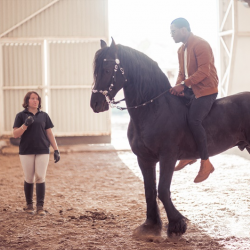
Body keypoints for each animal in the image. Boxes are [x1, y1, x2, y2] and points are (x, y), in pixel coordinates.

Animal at [91, 38, 250, 237]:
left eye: (106, 70)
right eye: (95, 70)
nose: (95, 104)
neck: (153, 109)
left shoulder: (168, 156)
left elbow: (162, 190)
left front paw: (177, 223)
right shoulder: (144, 158)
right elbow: (149, 190)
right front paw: (150, 224)